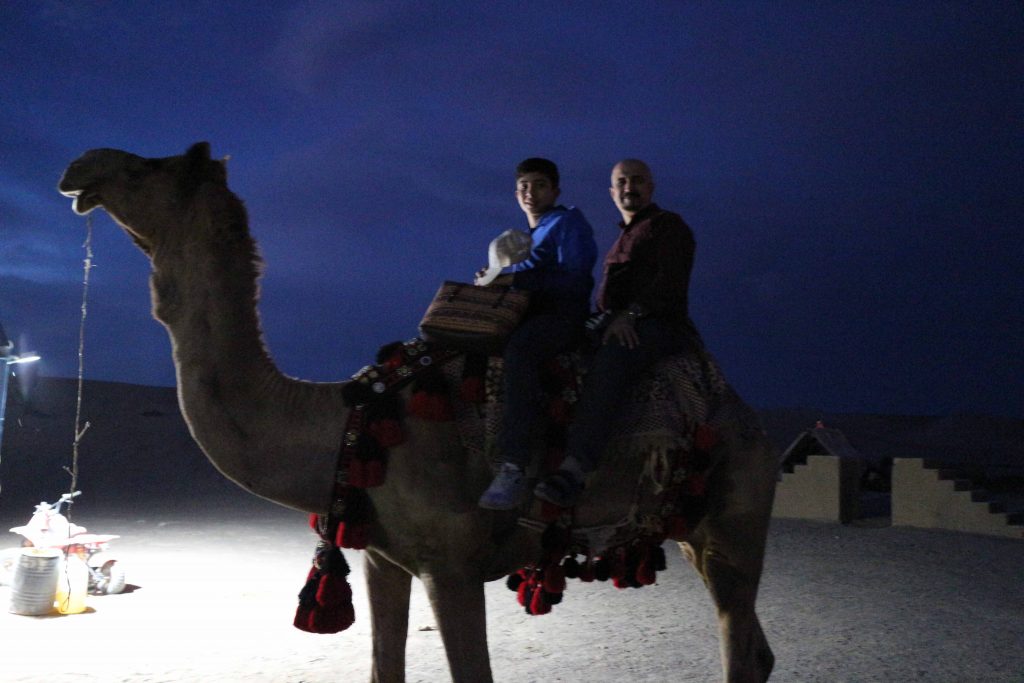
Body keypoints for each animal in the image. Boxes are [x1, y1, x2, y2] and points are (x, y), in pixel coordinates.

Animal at [58, 141, 774, 679]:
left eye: (146, 167)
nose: (80, 164)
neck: (344, 420)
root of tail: (748, 415)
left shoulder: (451, 566)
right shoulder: (382, 558)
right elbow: (385, 667)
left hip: (735, 516)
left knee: (741, 646)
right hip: (690, 529)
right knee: (756, 651)